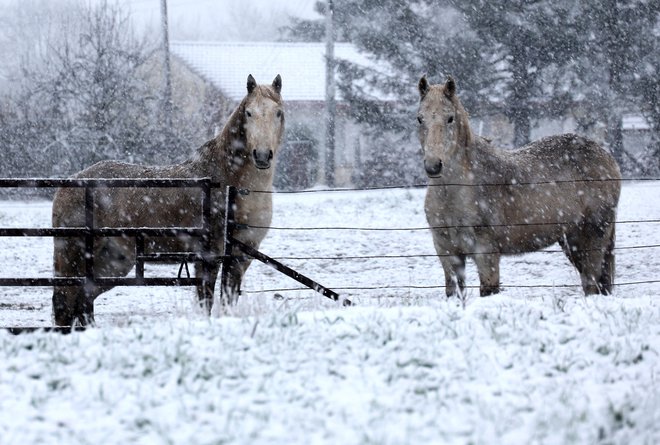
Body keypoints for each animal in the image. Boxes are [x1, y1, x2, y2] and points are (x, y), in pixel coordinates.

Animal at [52, 72, 284, 322]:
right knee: (64, 302)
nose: (262, 156)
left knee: (83, 300)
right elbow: (206, 301)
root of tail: (69, 182)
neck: (230, 181)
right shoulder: (209, 257)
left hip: (111, 260)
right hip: (73, 255)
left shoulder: (241, 257)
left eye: (278, 112)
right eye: (249, 113)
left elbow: (227, 302)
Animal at [420, 75, 620, 298]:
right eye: (420, 119)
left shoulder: (486, 253)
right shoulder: (447, 253)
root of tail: (606, 156)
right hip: (572, 240)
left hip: (593, 236)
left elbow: (488, 291)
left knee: (592, 282)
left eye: (450, 118)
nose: (433, 166)